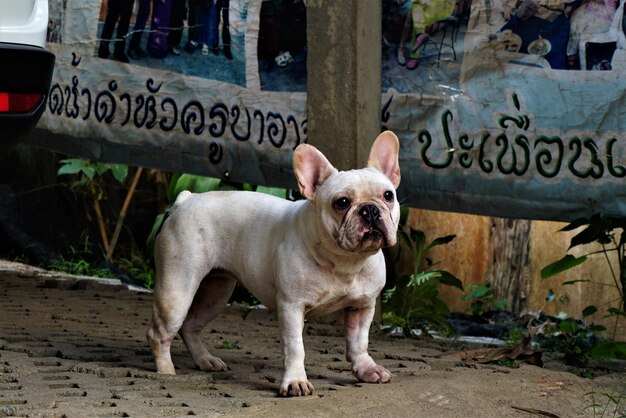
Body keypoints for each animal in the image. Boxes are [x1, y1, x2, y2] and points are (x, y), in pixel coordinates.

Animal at [147, 130, 400, 396]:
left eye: (388, 196)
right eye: (341, 203)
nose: (370, 210)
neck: (345, 260)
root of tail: (186, 200)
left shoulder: (362, 306)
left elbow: (359, 341)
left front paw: (366, 369)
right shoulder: (291, 306)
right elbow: (295, 347)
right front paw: (296, 381)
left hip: (215, 294)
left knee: (191, 326)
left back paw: (205, 360)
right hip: (177, 290)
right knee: (160, 332)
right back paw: (166, 371)